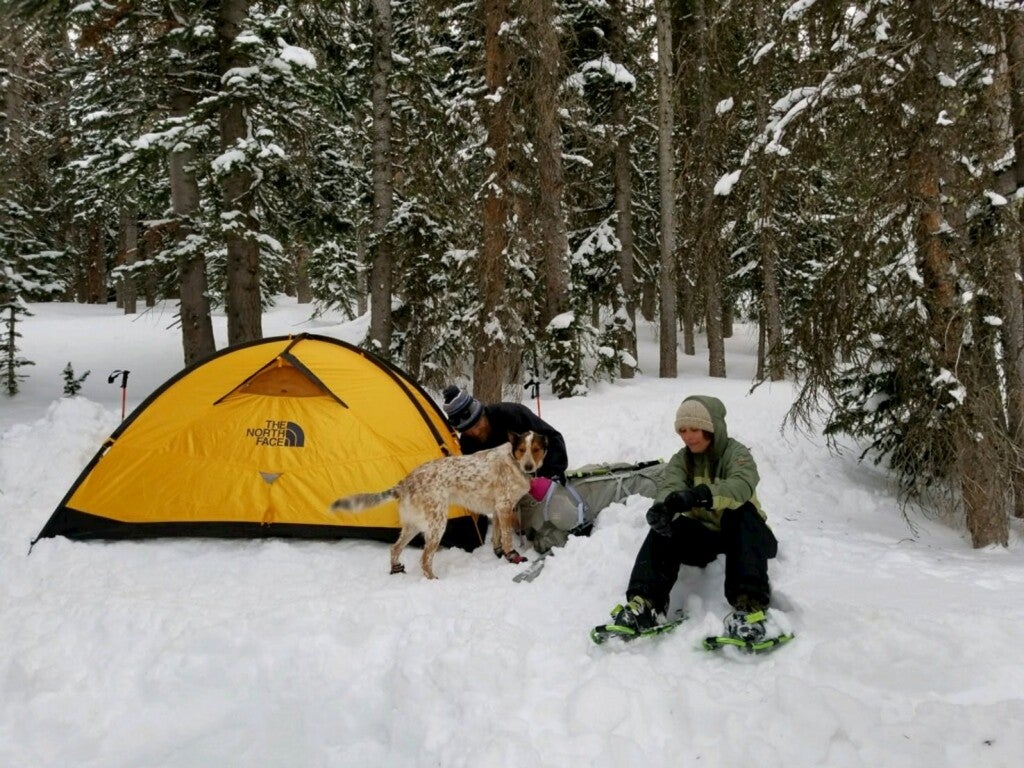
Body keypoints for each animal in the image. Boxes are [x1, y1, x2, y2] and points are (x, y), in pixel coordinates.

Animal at [331, 430, 548, 581]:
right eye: (522, 450)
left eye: (536, 450)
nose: (528, 466)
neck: (514, 462)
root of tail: (405, 482)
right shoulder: (504, 507)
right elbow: (508, 538)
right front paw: (513, 558)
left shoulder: (497, 509)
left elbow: (497, 537)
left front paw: (499, 553)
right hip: (437, 525)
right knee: (424, 559)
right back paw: (434, 581)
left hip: (413, 526)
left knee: (395, 548)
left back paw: (396, 569)